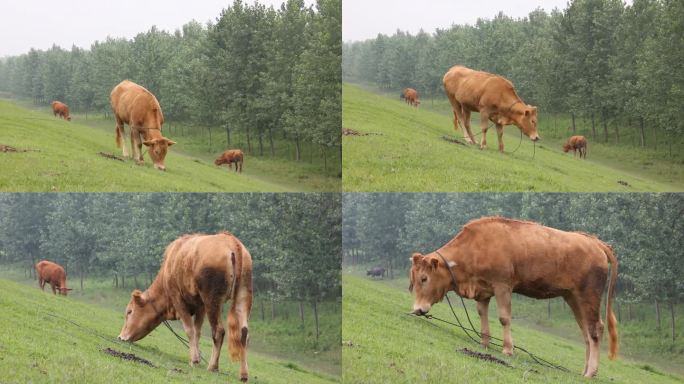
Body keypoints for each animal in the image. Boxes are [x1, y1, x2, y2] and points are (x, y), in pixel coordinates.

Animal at [118, 232, 254, 382]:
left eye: (129, 311)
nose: (120, 337)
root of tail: (231, 241)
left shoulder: (178, 299)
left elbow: (190, 330)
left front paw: (194, 360)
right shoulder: (200, 306)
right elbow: (197, 331)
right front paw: (197, 356)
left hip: (212, 299)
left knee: (218, 331)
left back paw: (212, 366)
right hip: (243, 295)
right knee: (244, 333)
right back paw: (243, 374)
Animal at [412, 216, 620, 378]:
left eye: (424, 278)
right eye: (413, 280)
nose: (417, 309)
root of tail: (594, 242)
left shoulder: (503, 285)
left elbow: (504, 318)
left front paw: (507, 349)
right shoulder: (483, 288)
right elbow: (482, 314)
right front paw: (484, 343)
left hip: (589, 294)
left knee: (596, 329)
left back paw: (591, 372)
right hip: (573, 297)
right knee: (586, 331)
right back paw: (584, 370)